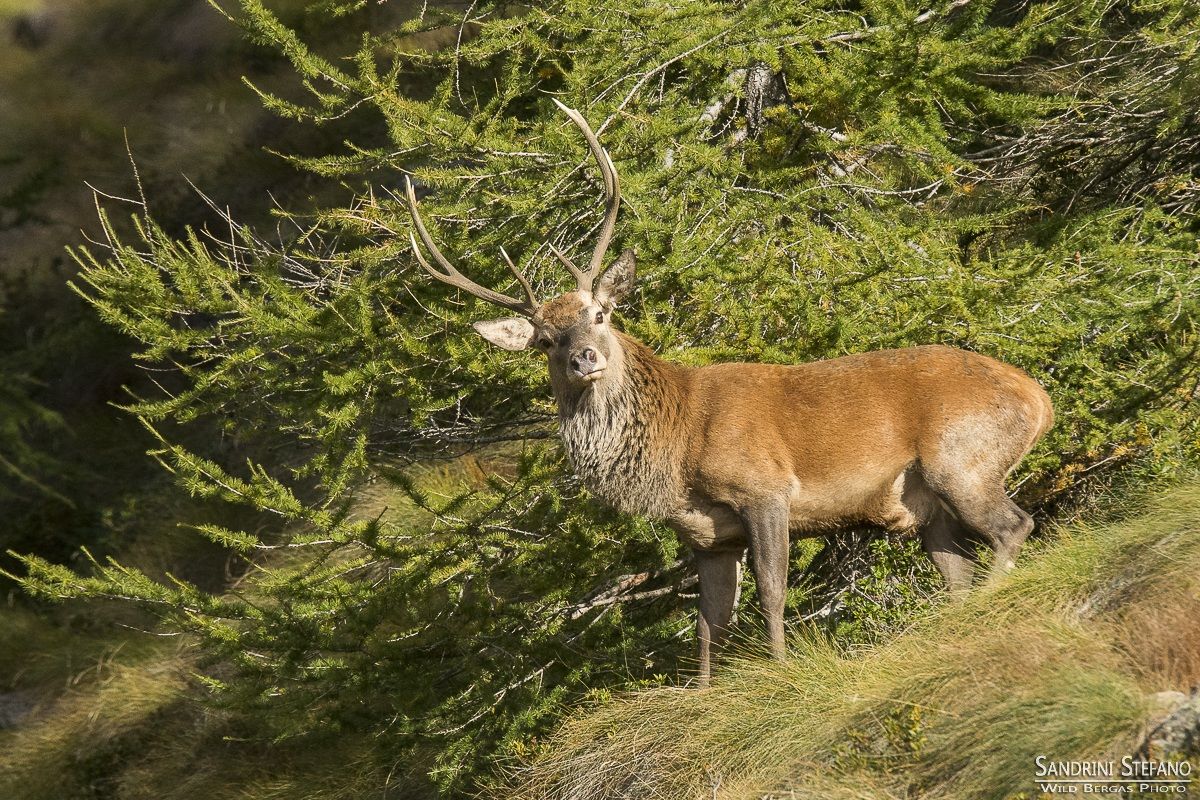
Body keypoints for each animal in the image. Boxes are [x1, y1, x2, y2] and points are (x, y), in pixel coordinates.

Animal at [402, 100, 1055, 685]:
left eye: (600, 314)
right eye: (543, 341)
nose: (583, 356)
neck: (677, 450)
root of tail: (1037, 398)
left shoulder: (764, 488)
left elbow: (772, 591)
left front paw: (782, 671)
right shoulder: (707, 537)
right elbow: (708, 623)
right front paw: (703, 692)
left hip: (961, 457)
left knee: (1014, 525)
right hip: (924, 507)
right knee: (959, 572)